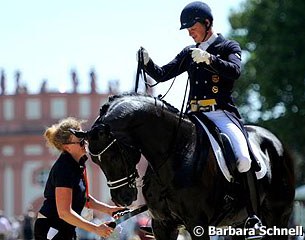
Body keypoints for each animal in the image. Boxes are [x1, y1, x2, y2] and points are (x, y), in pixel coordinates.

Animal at [72, 93, 294, 240]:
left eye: (115, 155)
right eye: (95, 161)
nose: (122, 199)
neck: (176, 153)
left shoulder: (198, 224)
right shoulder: (163, 225)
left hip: (277, 217)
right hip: (237, 224)